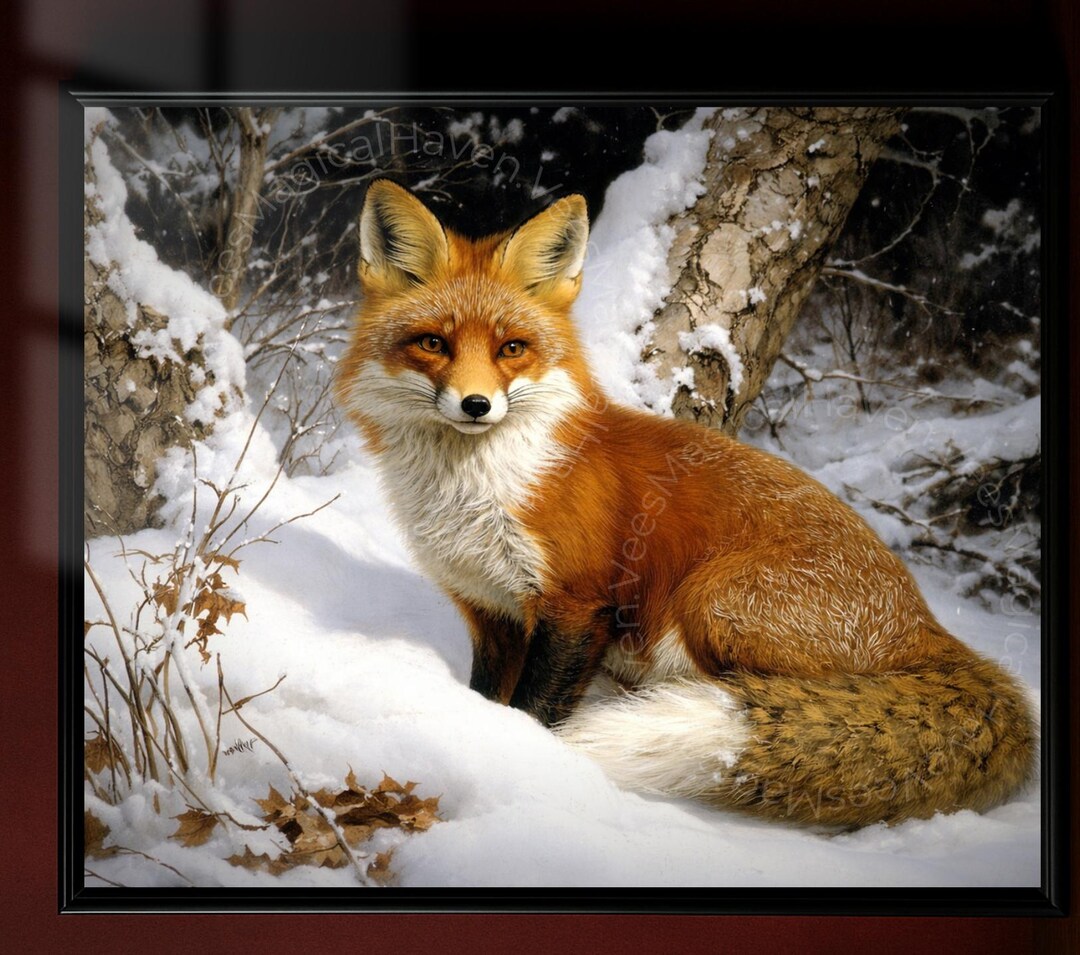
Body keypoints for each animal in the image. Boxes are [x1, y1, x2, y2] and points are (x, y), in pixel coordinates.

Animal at [335, 179, 1037, 827]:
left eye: (512, 348)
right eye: (433, 343)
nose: (477, 405)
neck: (475, 493)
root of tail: (930, 629)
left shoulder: (577, 605)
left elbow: (534, 711)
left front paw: (529, 762)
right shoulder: (489, 609)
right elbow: (488, 698)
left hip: (714, 602)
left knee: (794, 698)